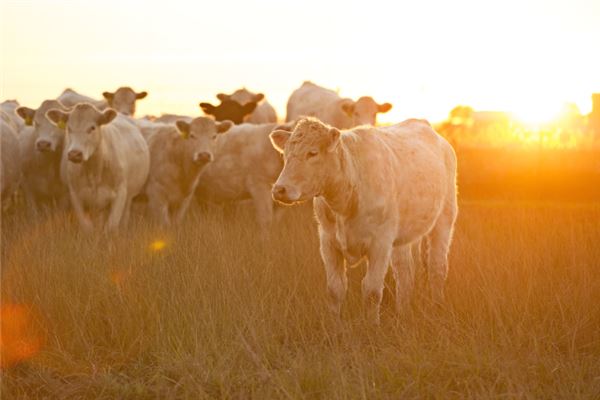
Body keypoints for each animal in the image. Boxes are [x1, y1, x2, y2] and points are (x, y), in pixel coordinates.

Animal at [46, 103, 150, 233]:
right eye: (69, 128)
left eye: (92, 128)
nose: (74, 154)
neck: (94, 171)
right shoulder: (75, 195)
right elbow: (87, 227)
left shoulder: (120, 193)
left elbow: (111, 226)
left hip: (129, 197)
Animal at [270, 117, 458, 324]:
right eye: (285, 154)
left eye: (312, 153)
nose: (279, 189)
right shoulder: (328, 242)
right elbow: (335, 289)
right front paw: (335, 326)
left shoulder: (380, 243)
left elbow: (372, 291)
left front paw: (372, 326)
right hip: (405, 236)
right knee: (405, 274)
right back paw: (403, 313)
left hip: (444, 219)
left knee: (437, 268)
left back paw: (437, 307)